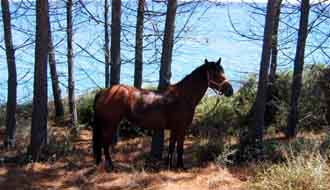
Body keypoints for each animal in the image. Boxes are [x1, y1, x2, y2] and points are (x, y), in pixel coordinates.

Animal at [91, 58, 233, 171]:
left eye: (222, 71)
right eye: (215, 74)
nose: (230, 90)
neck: (183, 96)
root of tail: (104, 92)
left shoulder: (175, 129)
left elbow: (171, 146)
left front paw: (169, 165)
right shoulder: (181, 128)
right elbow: (179, 148)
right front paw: (181, 167)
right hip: (110, 124)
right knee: (105, 144)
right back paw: (111, 167)